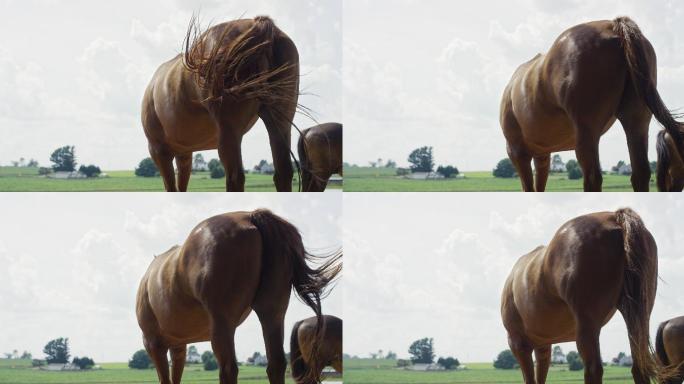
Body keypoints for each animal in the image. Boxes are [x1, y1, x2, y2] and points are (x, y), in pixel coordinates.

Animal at [136, 210, 342, 384]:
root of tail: (250, 216)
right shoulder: (178, 347)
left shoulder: (154, 344)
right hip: (272, 314)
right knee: (276, 365)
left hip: (222, 326)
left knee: (229, 369)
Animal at [140, 16, 298, 192]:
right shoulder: (184, 155)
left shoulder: (159, 151)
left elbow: (171, 187)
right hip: (280, 123)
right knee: (283, 173)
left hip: (229, 132)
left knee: (235, 177)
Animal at [496, 17, 684, 192]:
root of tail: (612, 26)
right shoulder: (542, 156)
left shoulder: (518, 152)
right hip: (637, 120)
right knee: (640, 174)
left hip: (586, 131)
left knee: (593, 177)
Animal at [502, 210, 664, 384]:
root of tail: (614, 217)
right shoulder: (543, 347)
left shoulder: (519, 344)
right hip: (638, 317)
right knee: (639, 367)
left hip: (587, 326)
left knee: (594, 369)